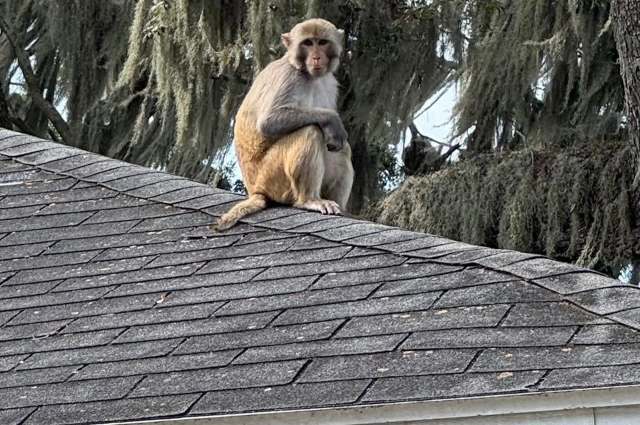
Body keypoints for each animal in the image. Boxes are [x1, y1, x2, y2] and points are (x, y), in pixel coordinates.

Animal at [214, 18, 354, 231]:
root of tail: (255, 190)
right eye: (308, 43)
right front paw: (332, 120)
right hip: (272, 177)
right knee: (310, 131)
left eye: (322, 42)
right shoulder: (289, 76)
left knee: (343, 149)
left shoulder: (330, 83)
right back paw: (309, 200)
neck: (307, 73)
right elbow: (269, 121)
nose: (316, 57)